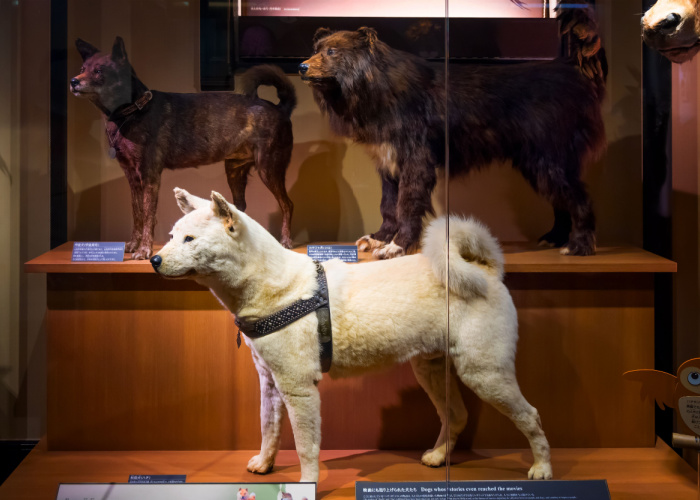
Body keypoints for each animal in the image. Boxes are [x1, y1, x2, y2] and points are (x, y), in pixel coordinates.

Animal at [68, 37, 292, 260]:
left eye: (99, 71)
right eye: (82, 69)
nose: (73, 81)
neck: (133, 110)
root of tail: (280, 108)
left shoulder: (149, 176)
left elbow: (148, 215)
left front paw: (144, 250)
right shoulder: (132, 176)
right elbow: (137, 213)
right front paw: (133, 244)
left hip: (269, 169)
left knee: (287, 204)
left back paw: (286, 241)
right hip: (234, 171)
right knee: (240, 208)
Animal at [152, 188, 552, 484]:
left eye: (189, 239)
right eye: (170, 237)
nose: (154, 260)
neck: (276, 286)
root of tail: (485, 270)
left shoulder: (300, 388)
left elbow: (306, 447)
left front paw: (306, 486)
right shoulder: (269, 382)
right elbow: (269, 429)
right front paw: (265, 465)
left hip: (484, 373)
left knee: (531, 416)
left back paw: (542, 468)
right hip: (432, 369)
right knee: (456, 416)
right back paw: (438, 456)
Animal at [300, 7, 608, 260]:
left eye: (332, 52)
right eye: (316, 48)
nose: (301, 67)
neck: (378, 84)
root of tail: (576, 75)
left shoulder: (415, 161)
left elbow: (406, 204)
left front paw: (397, 246)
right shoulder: (388, 162)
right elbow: (388, 204)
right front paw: (379, 238)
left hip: (548, 160)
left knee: (579, 199)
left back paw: (579, 246)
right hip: (541, 162)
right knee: (563, 201)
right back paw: (556, 239)